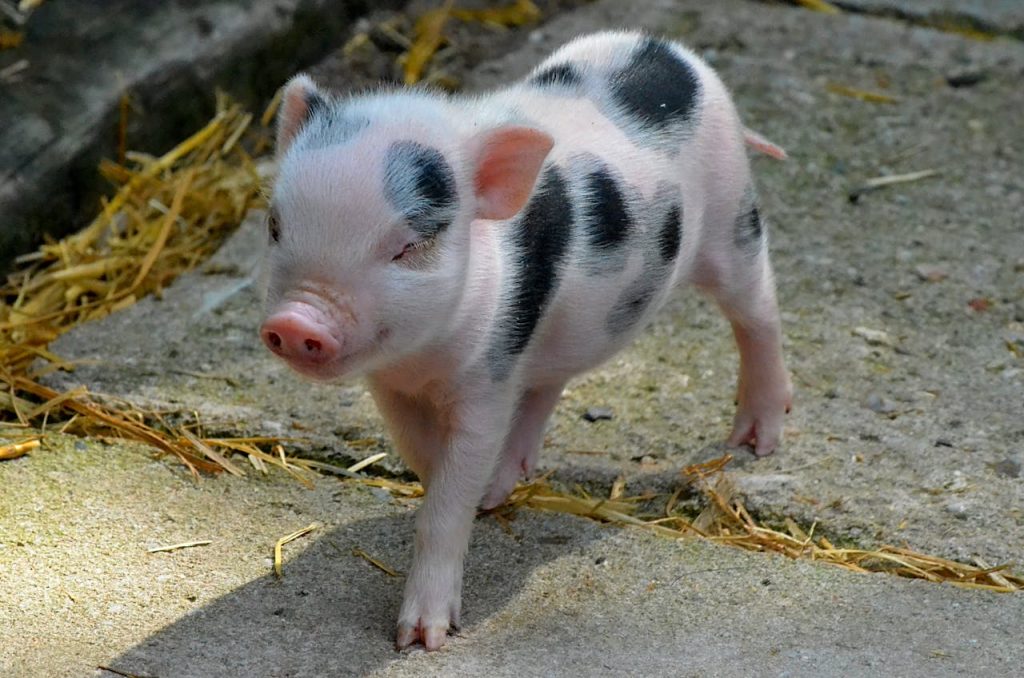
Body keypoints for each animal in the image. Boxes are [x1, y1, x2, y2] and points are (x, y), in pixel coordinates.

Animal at [260, 30, 792, 651]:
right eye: (275, 226)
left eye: (407, 246)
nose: (296, 321)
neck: (422, 359)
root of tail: (668, 49)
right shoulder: (394, 386)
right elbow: (423, 455)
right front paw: (480, 492)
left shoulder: (487, 380)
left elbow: (449, 495)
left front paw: (421, 639)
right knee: (549, 381)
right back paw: (506, 478)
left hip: (733, 217)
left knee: (758, 311)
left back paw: (755, 441)